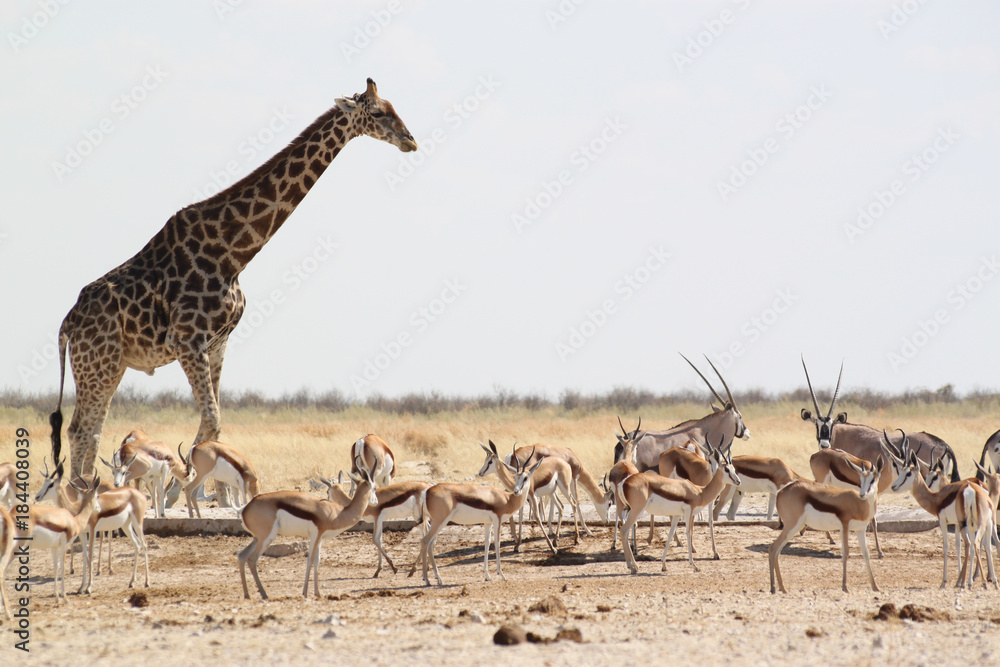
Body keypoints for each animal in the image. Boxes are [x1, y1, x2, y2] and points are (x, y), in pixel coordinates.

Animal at [50, 78, 417, 476]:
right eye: (377, 112)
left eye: (394, 106)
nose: (410, 139)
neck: (233, 255)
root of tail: (68, 323)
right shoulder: (187, 341)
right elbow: (212, 421)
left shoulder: (218, 343)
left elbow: (214, 425)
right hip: (97, 363)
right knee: (82, 429)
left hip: (111, 364)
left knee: (87, 428)